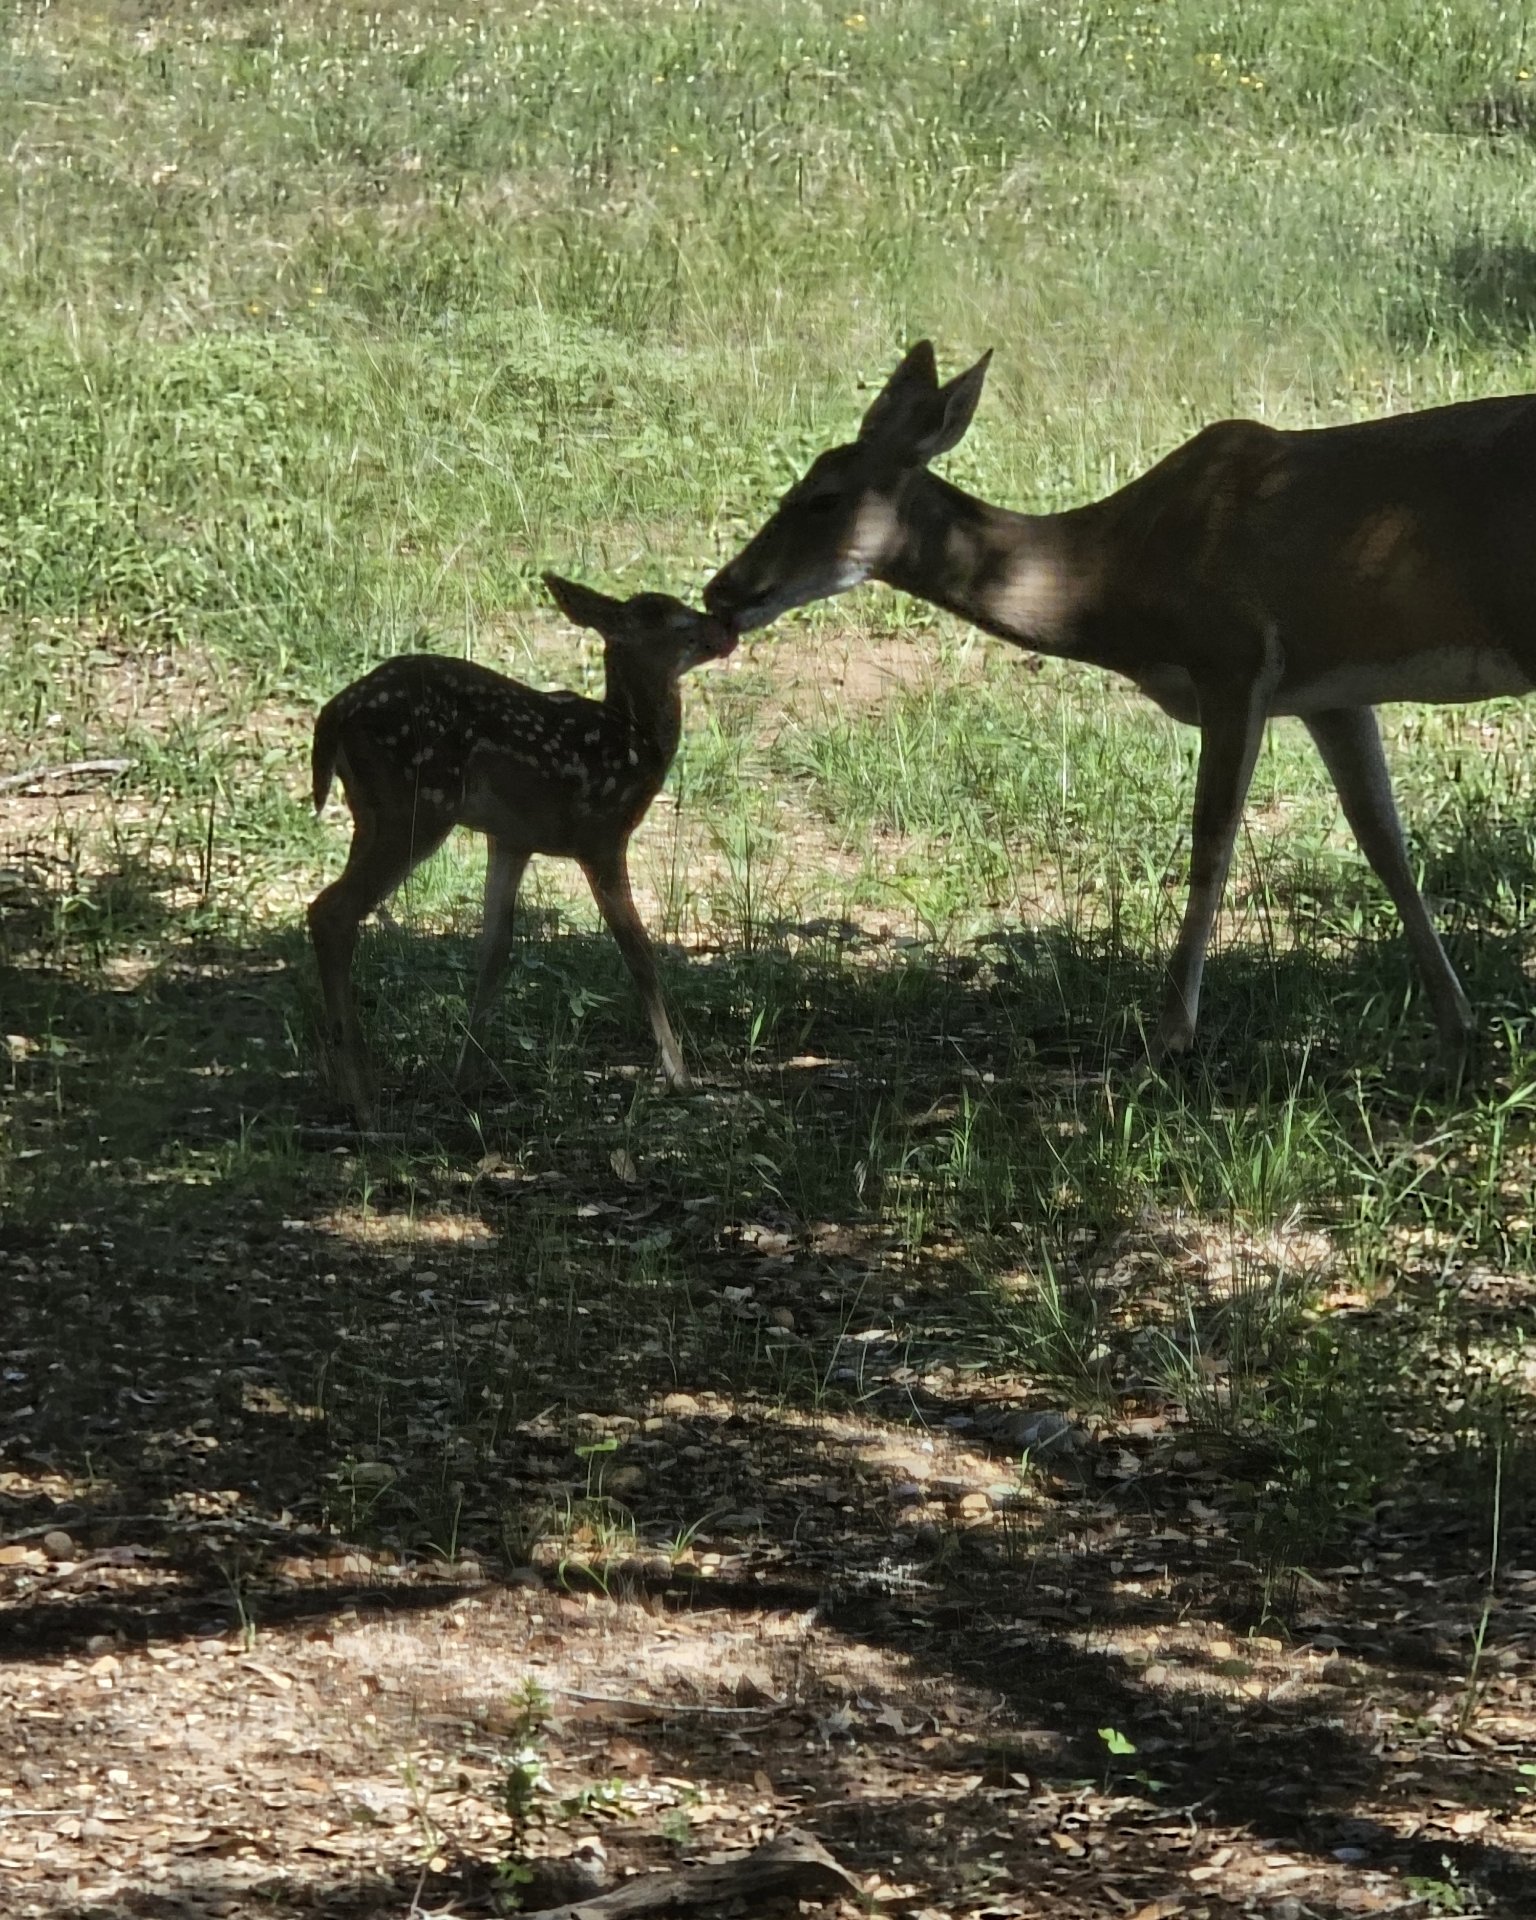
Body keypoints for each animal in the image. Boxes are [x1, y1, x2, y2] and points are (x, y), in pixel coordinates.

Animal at [308, 576, 737, 1121]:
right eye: (679, 619)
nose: (726, 630)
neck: (635, 740)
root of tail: (333, 714)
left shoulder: (511, 839)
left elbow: (495, 949)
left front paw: (467, 1078)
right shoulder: (601, 835)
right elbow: (638, 952)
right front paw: (680, 1077)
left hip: (373, 813)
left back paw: (351, 1089)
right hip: (419, 806)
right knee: (332, 911)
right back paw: (363, 1103)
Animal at [705, 341, 1536, 1072]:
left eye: (822, 499)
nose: (722, 590)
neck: (1119, 573)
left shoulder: (1233, 657)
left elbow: (1210, 844)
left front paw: (1169, 1037)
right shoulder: (1331, 692)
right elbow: (1384, 841)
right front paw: (1457, 1028)